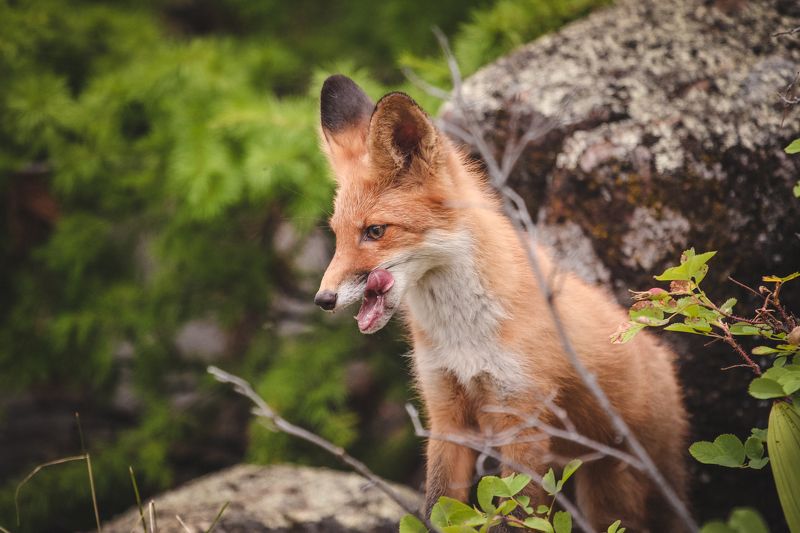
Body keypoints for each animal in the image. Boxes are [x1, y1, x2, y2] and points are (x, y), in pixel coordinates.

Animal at [313, 74, 688, 532]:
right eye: (336, 235)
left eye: (375, 231)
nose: (323, 299)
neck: (463, 335)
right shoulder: (446, 416)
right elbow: (438, 509)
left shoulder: (521, 419)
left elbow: (518, 513)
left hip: (631, 489)